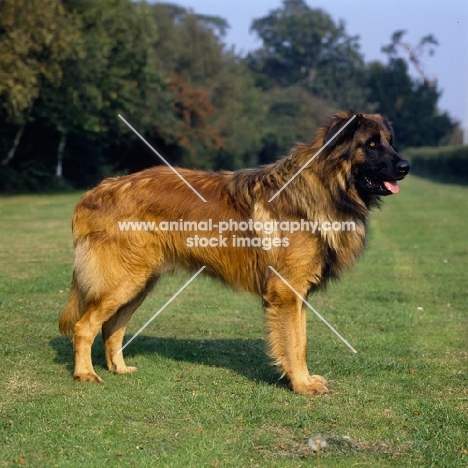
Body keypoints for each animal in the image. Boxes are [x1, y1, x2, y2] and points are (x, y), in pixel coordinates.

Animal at [58, 111, 410, 394]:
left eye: (391, 142)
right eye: (372, 144)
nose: (406, 166)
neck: (325, 186)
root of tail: (95, 192)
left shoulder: (298, 295)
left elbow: (301, 341)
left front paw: (301, 379)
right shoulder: (287, 292)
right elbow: (293, 343)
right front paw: (300, 384)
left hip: (138, 284)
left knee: (112, 328)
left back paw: (119, 368)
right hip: (124, 282)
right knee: (84, 327)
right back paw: (85, 374)